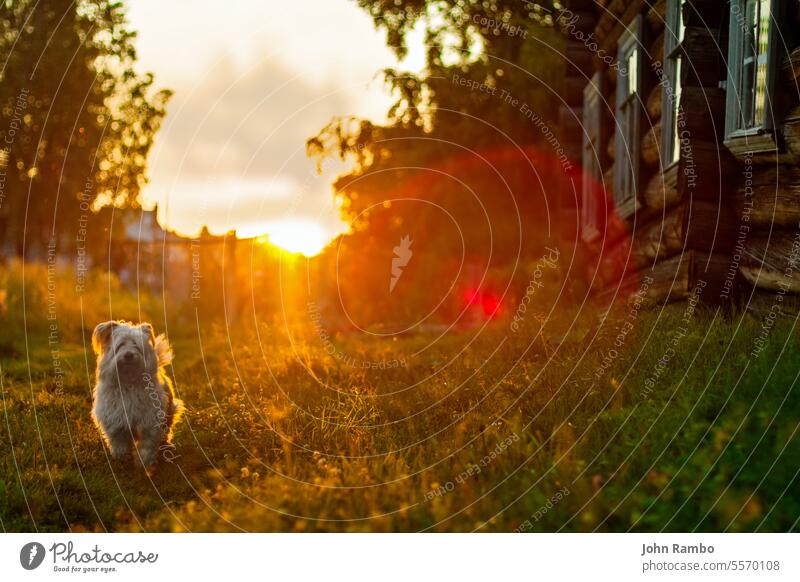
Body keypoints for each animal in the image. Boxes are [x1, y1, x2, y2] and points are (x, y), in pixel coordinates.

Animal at [91, 322, 184, 472]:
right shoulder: (114, 419)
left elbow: (147, 444)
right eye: (121, 345)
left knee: (166, 430)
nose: (129, 355)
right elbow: (119, 442)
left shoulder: (150, 420)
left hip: (169, 411)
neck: (128, 381)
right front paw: (122, 458)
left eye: (136, 345)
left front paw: (144, 463)